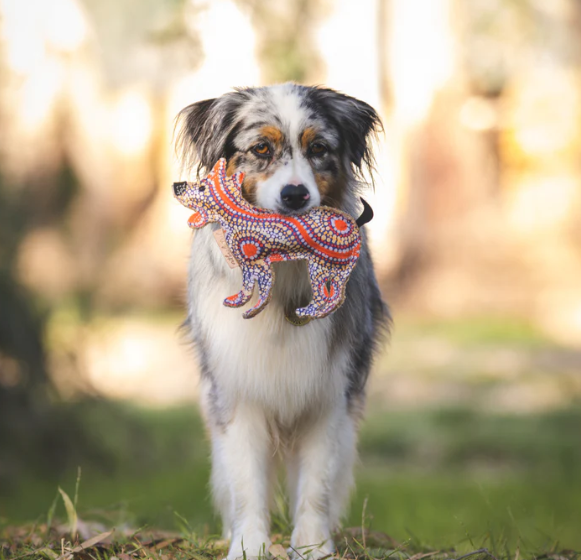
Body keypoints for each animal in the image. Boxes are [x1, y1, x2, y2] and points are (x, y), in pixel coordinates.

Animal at [174, 84, 388, 560]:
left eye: (319, 149)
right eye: (260, 149)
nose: (295, 195)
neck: (286, 264)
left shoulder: (330, 392)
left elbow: (316, 484)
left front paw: (313, 546)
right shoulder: (237, 392)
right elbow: (246, 482)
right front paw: (248, 545)